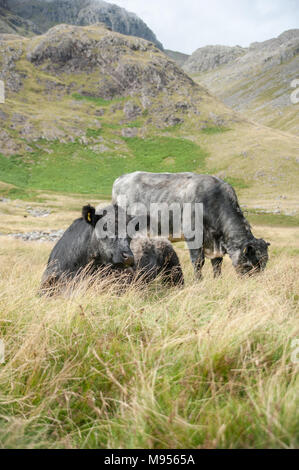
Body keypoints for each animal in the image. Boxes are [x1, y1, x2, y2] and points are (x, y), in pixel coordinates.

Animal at [113, 171, 272, 278]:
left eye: (264, 265)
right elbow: (198, 263)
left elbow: (217, 264)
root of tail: (122, 178)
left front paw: (217, 280)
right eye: (249, 265)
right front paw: (198, 282)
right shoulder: (193, 237)